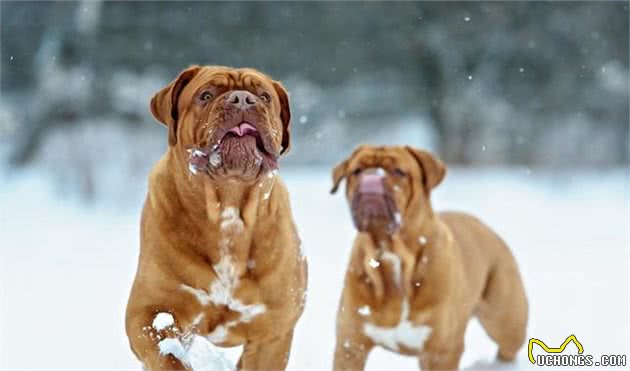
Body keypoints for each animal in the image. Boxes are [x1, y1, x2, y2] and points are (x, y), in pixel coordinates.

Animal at [124, 65, 308, 370]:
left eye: (264, 96)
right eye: (206, 95)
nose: (242, 99)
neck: (228, 209)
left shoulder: (272, 331)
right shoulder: (149, 308)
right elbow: (167, 355)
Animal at [330, 146, 528, 371]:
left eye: (399, 171)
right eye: (356, 171)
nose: (371, 178)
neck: (393, 254)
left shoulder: (442, 351)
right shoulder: (351, 345)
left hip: (506, 323)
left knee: (508, 346)